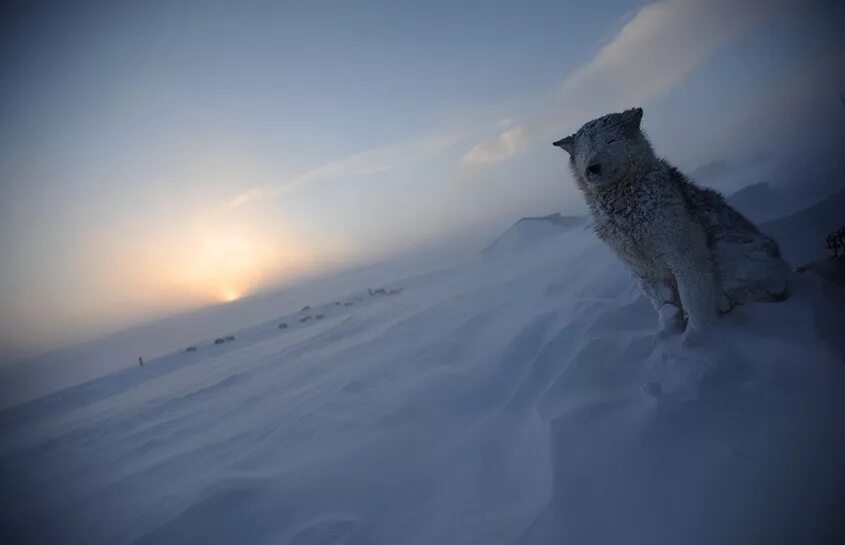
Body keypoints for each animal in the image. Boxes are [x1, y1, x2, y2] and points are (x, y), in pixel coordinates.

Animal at [552, 108, 788, 342]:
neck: (627, 210)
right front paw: (669, 336)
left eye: (611, 140)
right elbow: (665, 307)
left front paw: (695, 339)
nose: (592, 168)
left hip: (727, 251)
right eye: (584, 149)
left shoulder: (685, 255)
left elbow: (694, 299)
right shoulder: (643, 270)